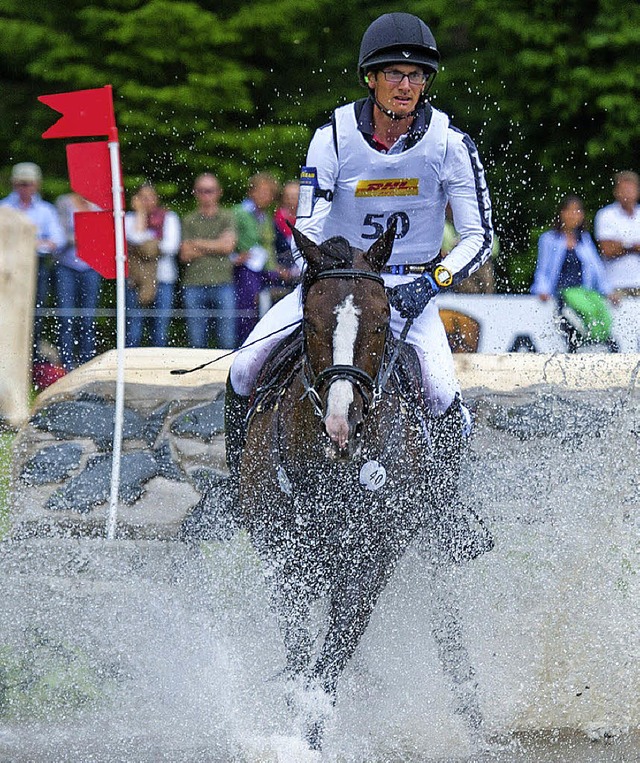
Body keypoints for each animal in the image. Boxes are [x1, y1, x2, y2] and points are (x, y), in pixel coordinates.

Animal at [238, 224, 438, 748]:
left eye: (383, 318)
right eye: (310, 319)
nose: (340, 425)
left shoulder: (370, 566)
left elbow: (330, 664)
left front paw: (309, 735)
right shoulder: (286, 562)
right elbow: (299, 657)